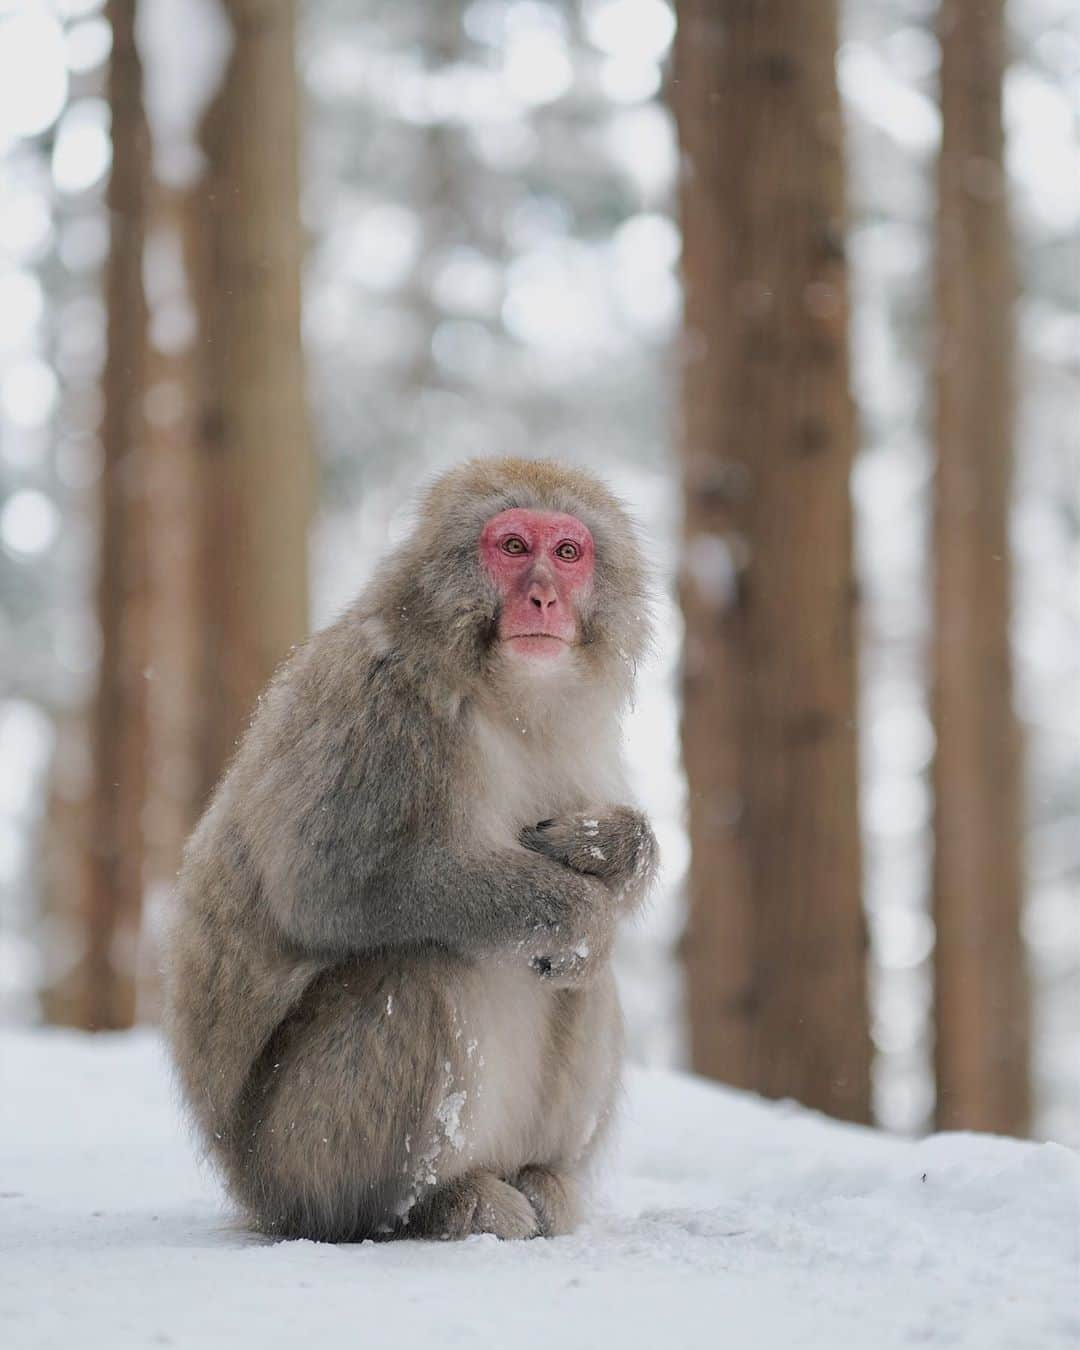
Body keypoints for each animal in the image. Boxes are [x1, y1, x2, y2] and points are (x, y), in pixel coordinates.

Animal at [163, 459, 653, 1236]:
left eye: (570, 552)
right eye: (513, 546)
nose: (544, 595)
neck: (503, 696)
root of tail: (247, 1186)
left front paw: (615, 849)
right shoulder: (383, 708)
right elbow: (325, 888)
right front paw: (576, 907)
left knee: (584, 980)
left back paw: (543, 1178)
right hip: (295, 1154)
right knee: (417, 965)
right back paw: (425, 1207)